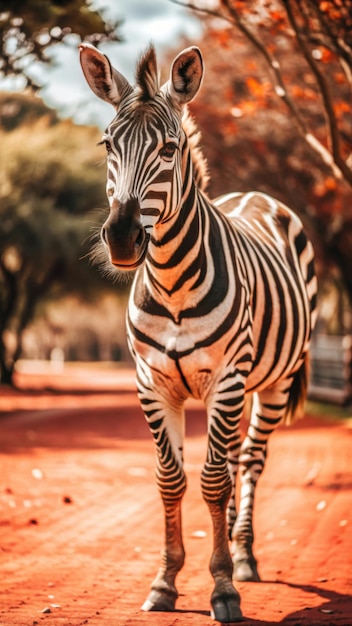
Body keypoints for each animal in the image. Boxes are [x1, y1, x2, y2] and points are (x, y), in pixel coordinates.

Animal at [79, 41, 316, 620]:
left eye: (169, 148)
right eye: (107, 144)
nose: (123, 238)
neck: (171, 282)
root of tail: (257, 195)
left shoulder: (227, 378)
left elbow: (210, 480)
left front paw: (224, 586)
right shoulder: (152, 383)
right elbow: (172, 480)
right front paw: (166, 582)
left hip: (272, 381)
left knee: (247, 461)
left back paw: (245, 554)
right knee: (229, 460)